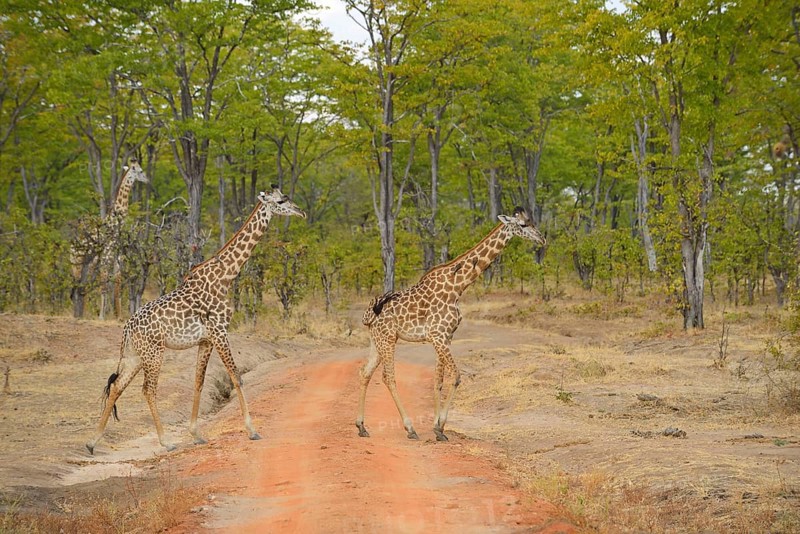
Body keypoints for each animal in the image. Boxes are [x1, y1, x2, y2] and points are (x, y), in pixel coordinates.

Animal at [86, 187, 306, 454]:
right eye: (282, 200)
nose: (301, 212)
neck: (226, 276)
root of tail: (127, 328)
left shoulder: (206, 340)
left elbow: (199, 382)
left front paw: (196, 434)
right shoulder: (220, 332)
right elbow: (237, 377)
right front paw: (252, 430)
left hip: (135, 355)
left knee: (117, 386)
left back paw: (91, 442)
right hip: (154, 353)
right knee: (148, 389)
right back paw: (166, 442)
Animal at [357, 207, 545, 441]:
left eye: (531, 221)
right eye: (523, 225)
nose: (542, 239)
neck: (458, 286)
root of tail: (368, 315)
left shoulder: (445, 336)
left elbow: (438, 380)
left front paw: (438, 427)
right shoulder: (438, 336)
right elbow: (455, 377)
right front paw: (440, 428)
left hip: (376, 341)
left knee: (365, 373)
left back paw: (362, 427)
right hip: (388, 339)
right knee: (388, 377)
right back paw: (410, 429)